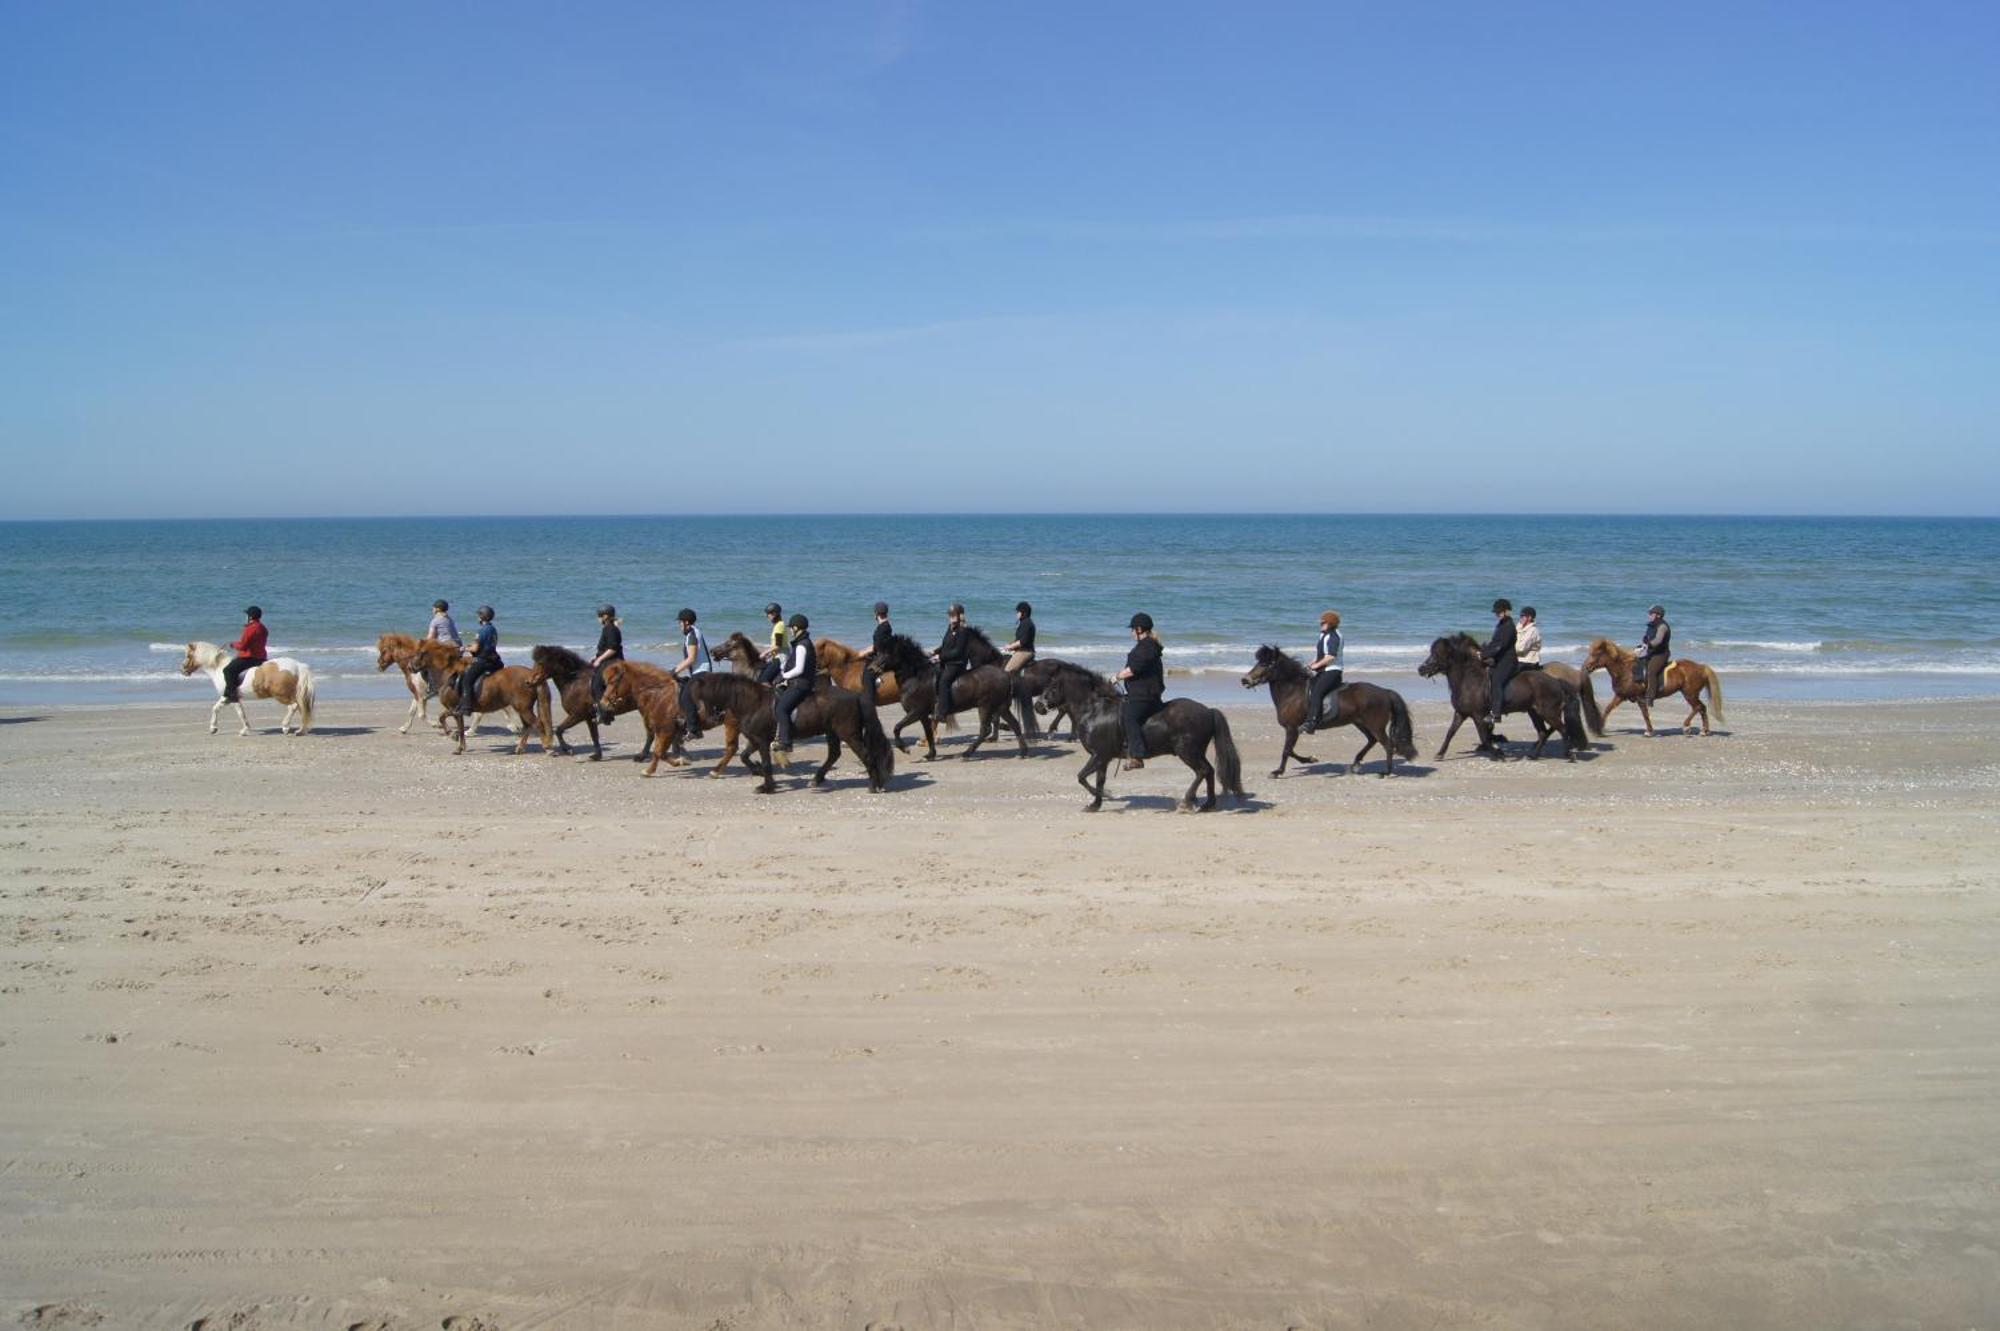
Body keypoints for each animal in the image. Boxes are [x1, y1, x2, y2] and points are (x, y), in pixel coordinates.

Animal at [181, 639, 316, 731]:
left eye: (188, 655)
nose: (182, 670)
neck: (219, 668)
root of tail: (298, 665)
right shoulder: (231, 697)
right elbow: (225, 709)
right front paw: (215, 728)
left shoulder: (229, 696)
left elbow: (234, 712)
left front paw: (243, 730)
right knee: (301, 709)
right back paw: (301, 730)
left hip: (281, 695)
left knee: (293, 706)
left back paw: (286, 727)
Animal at [1040, 663, 1240, 807]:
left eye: (1052, 686)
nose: (1038, 706)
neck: (1095, 710)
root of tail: (1208, 711)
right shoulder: (1103, 758)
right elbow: (1098, 780)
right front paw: (1096, 804)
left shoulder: (1099, 755)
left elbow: (1082, 776)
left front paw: (1103, 796)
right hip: (1196, 752)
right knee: (1209, 771)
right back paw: (1208, 804)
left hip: (1188, 752)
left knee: (1203, 771)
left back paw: (1187, 801)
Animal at [1232, 643, 1424, 779]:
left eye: (1266, 664)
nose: (1244, 680)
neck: (1292, 691)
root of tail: (1385, 691)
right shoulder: (1293, 729)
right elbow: (1291, 750)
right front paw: (1310, 759)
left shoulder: (1292, 728)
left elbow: (1286, 750)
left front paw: (1278, 772)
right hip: (1360, 723)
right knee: (1372, 740)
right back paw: (1355, 764)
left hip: (1374, 725)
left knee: (1388, 745)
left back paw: (1386, 772)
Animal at [1424, 631, 1592, 755]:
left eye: (1438, 654)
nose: (1421, 669)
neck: (1468, 679)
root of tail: (1556, 681)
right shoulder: (1461, 713)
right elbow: (1450, 732)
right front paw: (1440, 754)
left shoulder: (1478, 715)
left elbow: (1484, 737)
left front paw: (1497, 753)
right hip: (1535, 712)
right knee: (1544, 732)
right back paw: (1534, 755)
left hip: (1548, 712)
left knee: (1561, 730)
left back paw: (1568, 755)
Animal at [1584, 635, 1728, 735]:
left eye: (1596, 653)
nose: (1586, 667)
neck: (1625, 670)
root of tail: (1701, 667)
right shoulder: (1620, 696)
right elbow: (1608, 709)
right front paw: (1599, 727)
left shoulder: (1640, 698)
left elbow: (1645, 714)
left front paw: (1649, 731)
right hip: (1690, 694)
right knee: (1702, 708)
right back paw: (1704, 731)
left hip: (1689, 694)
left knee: (1698, 707)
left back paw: (1687, 726)